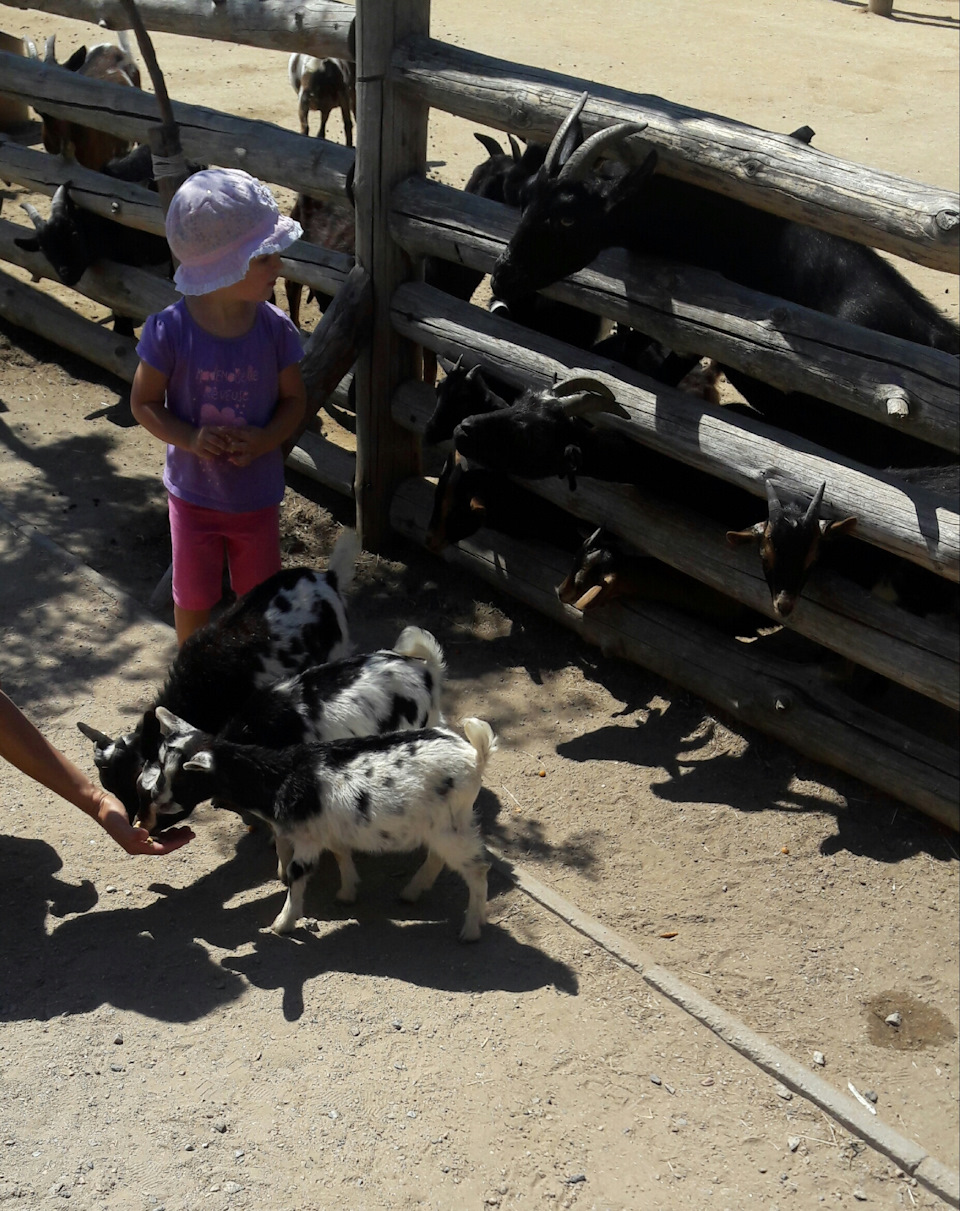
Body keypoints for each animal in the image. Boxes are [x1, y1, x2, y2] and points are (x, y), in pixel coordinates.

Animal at [152, 707, 498, 939]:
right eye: (160, 762)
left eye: (184, 777)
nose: (156, 797)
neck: (281, 776)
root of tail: (475, 756)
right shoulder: (328, 829)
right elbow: (341, 854)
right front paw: (347, 892)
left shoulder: (306, 839)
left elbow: (297, 874)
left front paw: (283, 923)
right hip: (441, 825)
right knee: (440, 857)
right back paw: (412, 892)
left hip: (450, 825)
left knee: (477, 868)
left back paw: (471, 928)